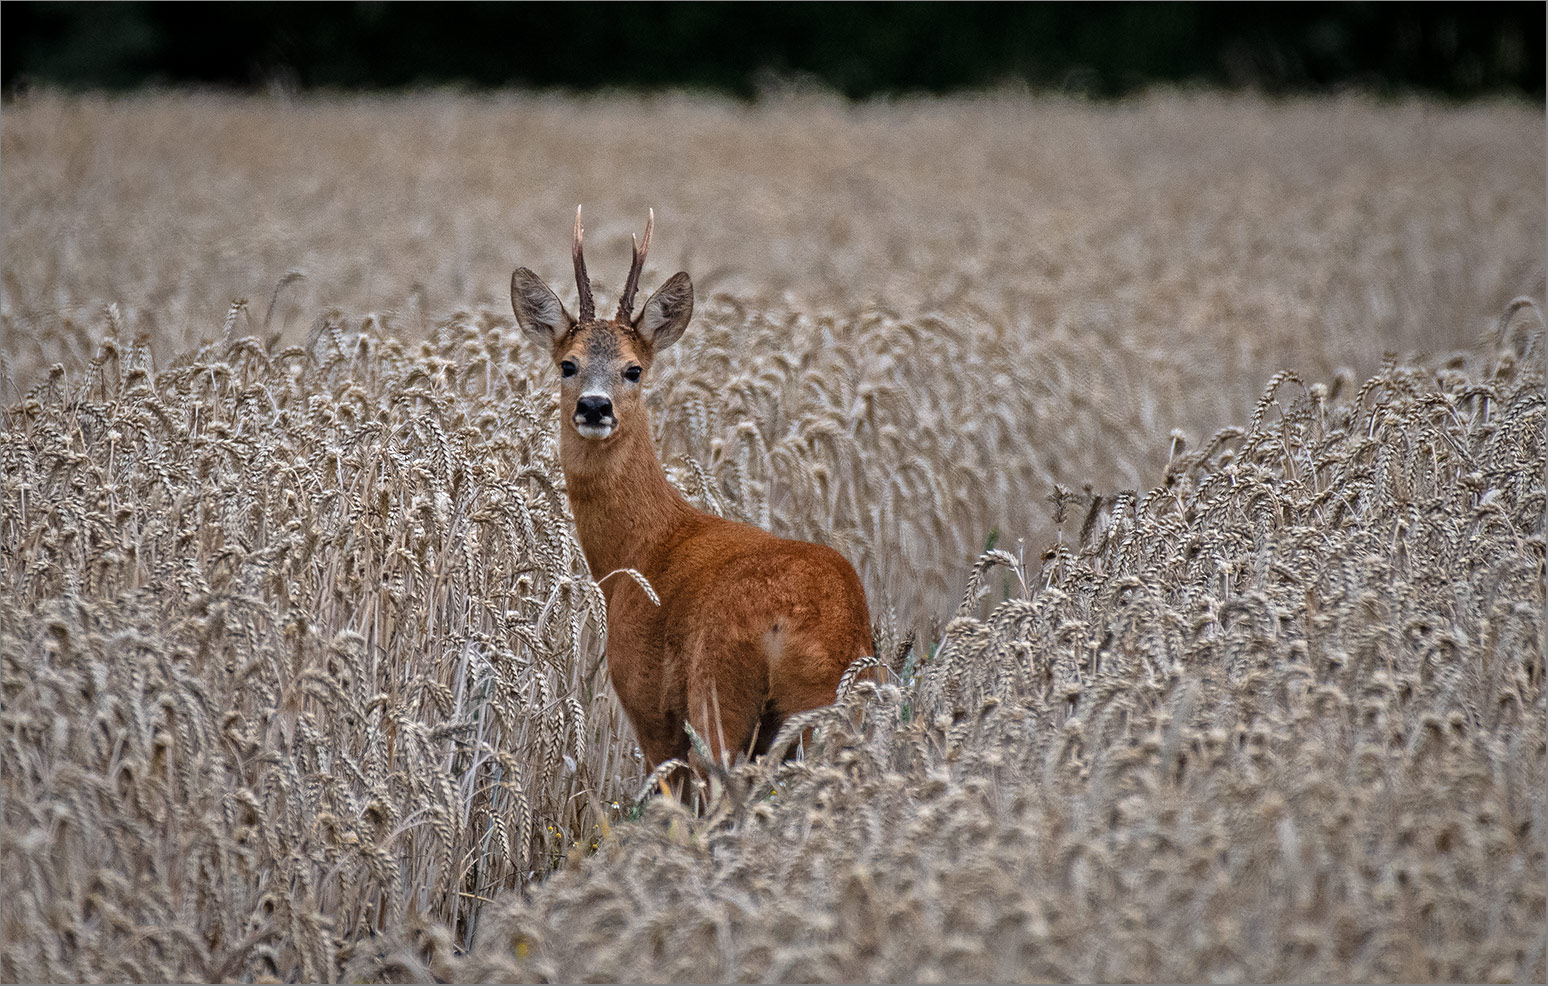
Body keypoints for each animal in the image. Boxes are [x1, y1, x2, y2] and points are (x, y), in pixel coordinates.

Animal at [507, 208, 873, 777]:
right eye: (568, 364)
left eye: (633, 369)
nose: (594, 406)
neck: (643, 550)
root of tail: (798, 625)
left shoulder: (647, 701)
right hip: (840, 711)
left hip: (718, 695)